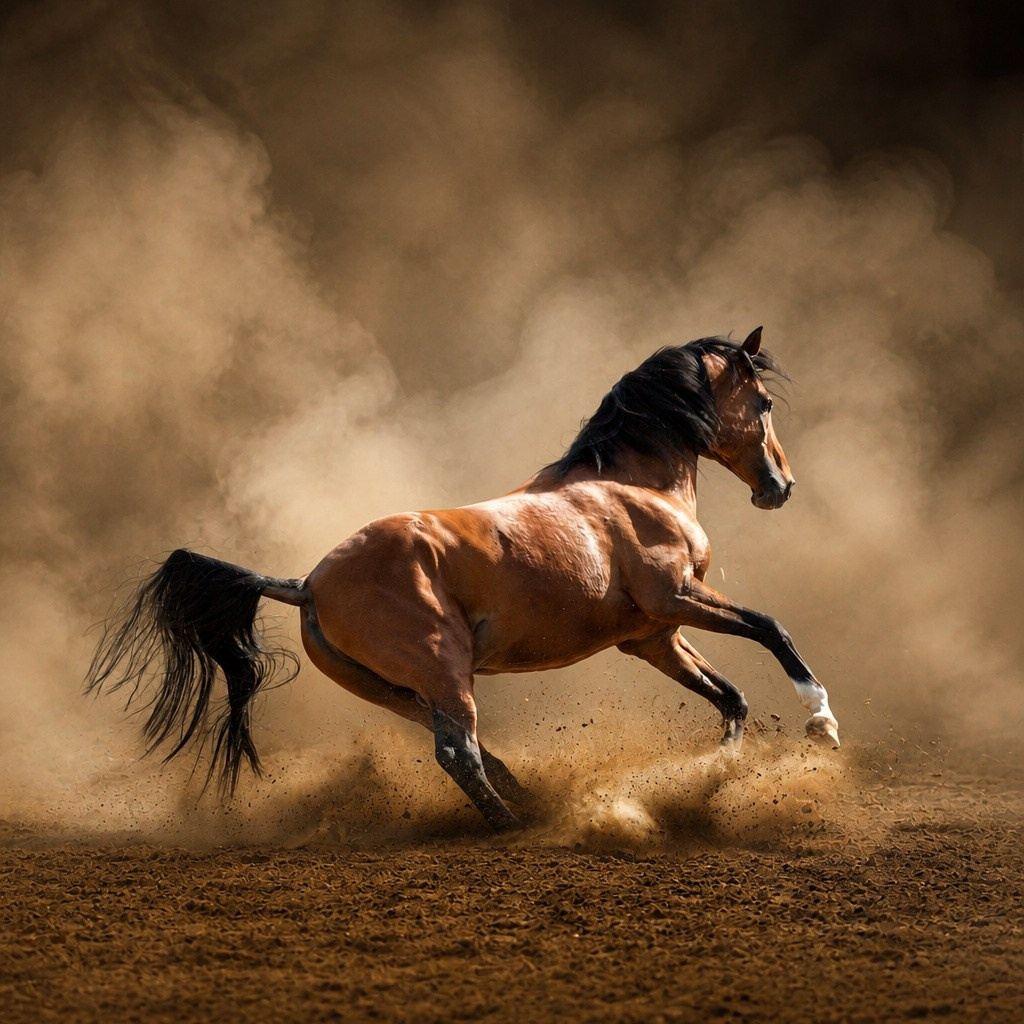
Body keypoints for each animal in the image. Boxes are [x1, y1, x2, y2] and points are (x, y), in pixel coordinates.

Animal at [86, 326, 839, 832]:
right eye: (764, 403)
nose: (780, 486)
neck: (628, 486)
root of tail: (308, 582)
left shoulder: (653, 635)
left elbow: (732, 698)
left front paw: (717, 776)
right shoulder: (678, 596)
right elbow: (773, 629)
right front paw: (821, 724)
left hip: (398, 690)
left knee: (466, 748)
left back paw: (527, 801)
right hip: (443, 670)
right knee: (458, 754)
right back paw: (515, 823)